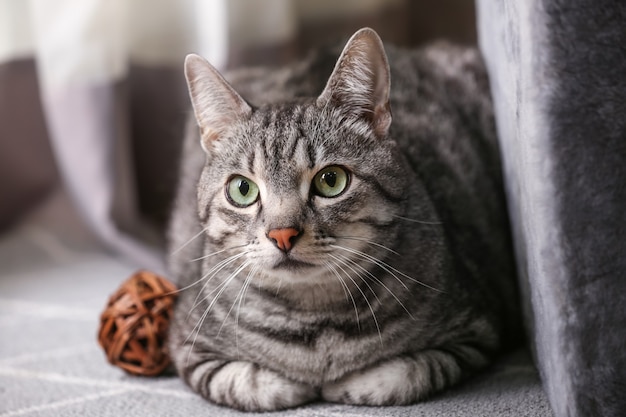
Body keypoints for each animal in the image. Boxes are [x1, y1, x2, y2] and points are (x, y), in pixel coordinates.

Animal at [165, 27, 516, 412]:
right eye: (242, 189)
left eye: (330, 180)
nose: (282, 234)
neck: (317, 321)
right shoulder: (189, 347)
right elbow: (252, 383)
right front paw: (299, 383)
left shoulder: (475, 330)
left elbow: (404, 376)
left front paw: (344, 383)